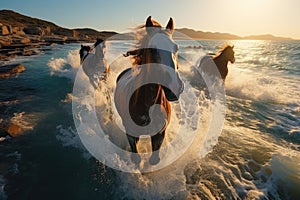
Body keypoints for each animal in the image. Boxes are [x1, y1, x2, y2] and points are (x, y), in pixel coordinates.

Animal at [113, 16, 183, 165]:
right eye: (151, 49)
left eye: (176, 47)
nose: (174, 86)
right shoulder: (131, 134)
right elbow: (136, 158)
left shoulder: (159, 135)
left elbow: (154, 159)